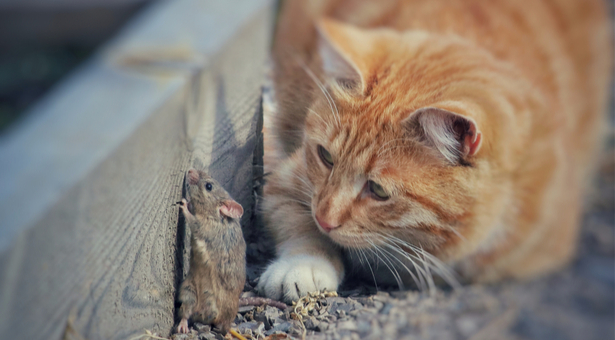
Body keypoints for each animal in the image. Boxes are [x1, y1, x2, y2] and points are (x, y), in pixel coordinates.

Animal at [256, 0, 612, 302]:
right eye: (326, 157)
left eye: (378, 190)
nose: (324, 218)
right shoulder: (286, 180)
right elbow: (296, 221)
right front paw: (303, 264)